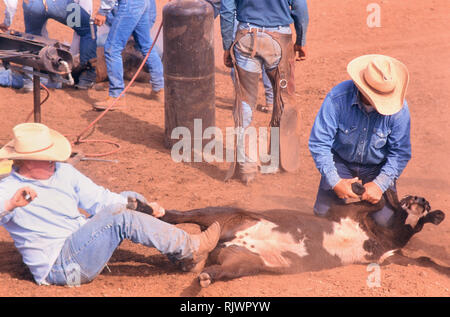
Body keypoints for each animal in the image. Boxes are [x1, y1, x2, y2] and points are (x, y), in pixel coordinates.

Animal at [157, 186, 442, 288]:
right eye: (410, 198)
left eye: (427, 208)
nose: (421, 201)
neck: (379, 236)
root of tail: (224, 242)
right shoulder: (348, 211)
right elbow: (373, 200)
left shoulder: (390, 257)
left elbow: (424, 260)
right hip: (222, 213)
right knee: (179, 216)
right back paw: (154, 211)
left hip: (243, 262)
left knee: (220, 270)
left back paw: (205, 276)